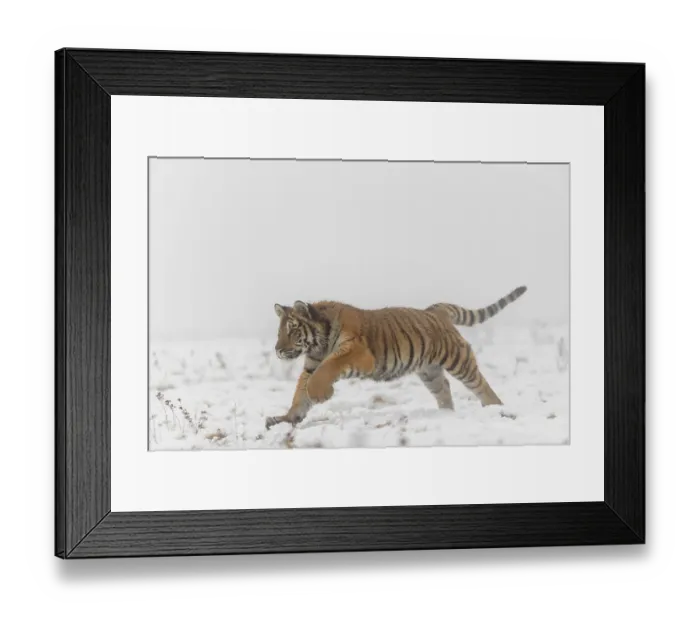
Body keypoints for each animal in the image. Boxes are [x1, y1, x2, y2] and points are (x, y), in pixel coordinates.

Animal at [265, 285, 527, 430]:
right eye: (279, 332)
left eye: (292, 330)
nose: (277, 349)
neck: (318, 345)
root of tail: (435, 310)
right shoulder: (311, 365)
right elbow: (300, 394)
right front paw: (285, 419)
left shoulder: (357, 352)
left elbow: (327, 369)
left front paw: (321, 394)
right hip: (430, 372)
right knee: (443, 389)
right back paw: (446, 416)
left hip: (458, 359)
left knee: (481, 385)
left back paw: (497, 409)